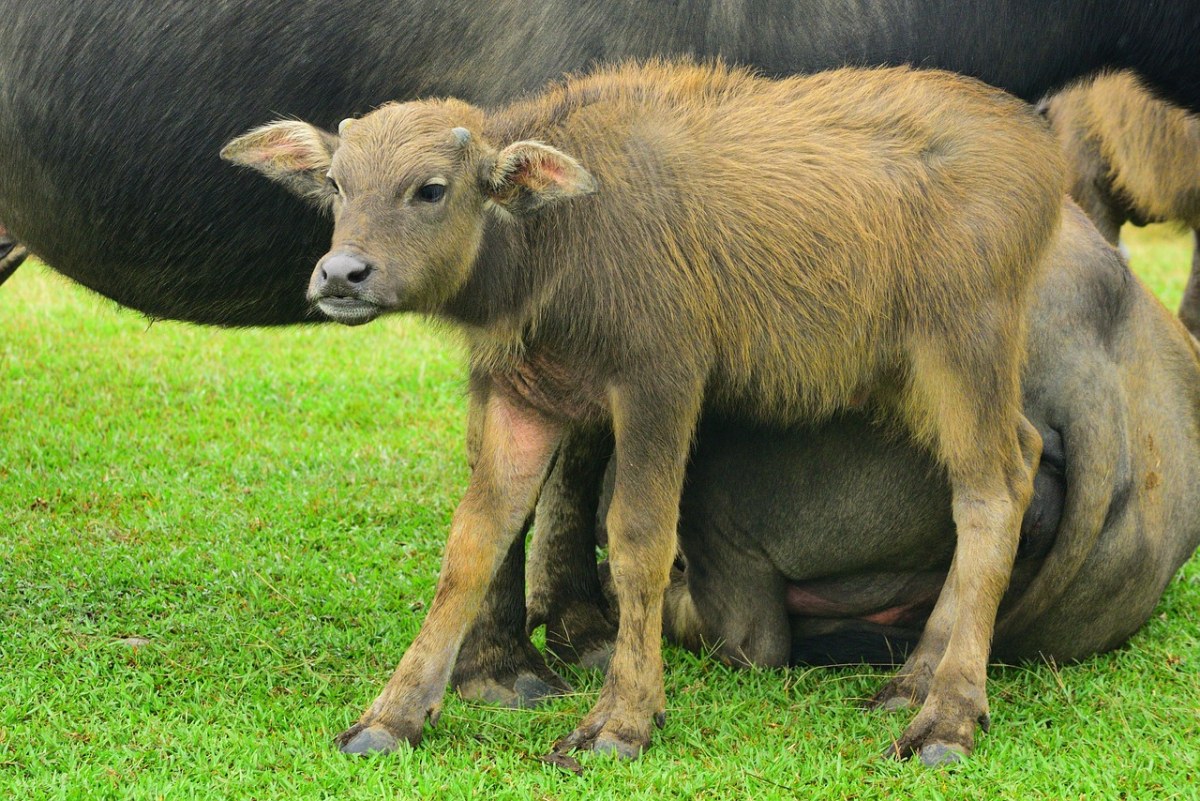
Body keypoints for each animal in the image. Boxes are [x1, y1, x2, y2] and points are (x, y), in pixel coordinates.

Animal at [223, 61, 1060, 762]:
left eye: (430, 188)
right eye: (337, 184)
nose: (341, 274)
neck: (557, 240)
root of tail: (1037, 145)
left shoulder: (660, 383)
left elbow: (638, 543)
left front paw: (620, 720)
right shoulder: (526, 395)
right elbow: (475, 540)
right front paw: (391, 716)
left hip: (964, 346)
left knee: (989, 495)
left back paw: (946, 716)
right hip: (904, 374)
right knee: (1021, 455)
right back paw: (913, 679)